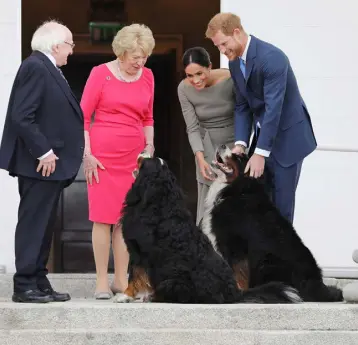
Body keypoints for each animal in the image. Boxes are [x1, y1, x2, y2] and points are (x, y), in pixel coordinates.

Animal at [116, 156, 300, 304]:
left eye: (145, 162)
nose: (141, 154)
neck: (158, 202)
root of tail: (235, 293)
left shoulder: (139, 252)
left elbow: (135, 275)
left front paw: (125, 295)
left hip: (174, 281)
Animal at [201, 145, 344, 300]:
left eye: (238, 158)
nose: (222, 146)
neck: (238, 190)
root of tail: (315, 283)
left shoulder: (236, 247)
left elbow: (238, 274)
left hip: (266, 261)